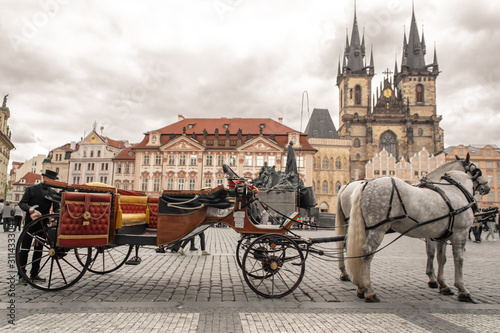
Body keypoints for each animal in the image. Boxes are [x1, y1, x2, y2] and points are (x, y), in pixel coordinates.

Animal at [346, 166, 490, 300]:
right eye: (478, 172)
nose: (487, 187)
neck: (455, 190)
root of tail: (366, 184)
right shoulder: (461, 232)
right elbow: (459, 259)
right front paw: (462, 290)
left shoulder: (441, 236)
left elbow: (441, 258)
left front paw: (443, 285)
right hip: (379, 228)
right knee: (367, 251)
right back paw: (369, 290)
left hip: (367, 227)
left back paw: (360, 288)